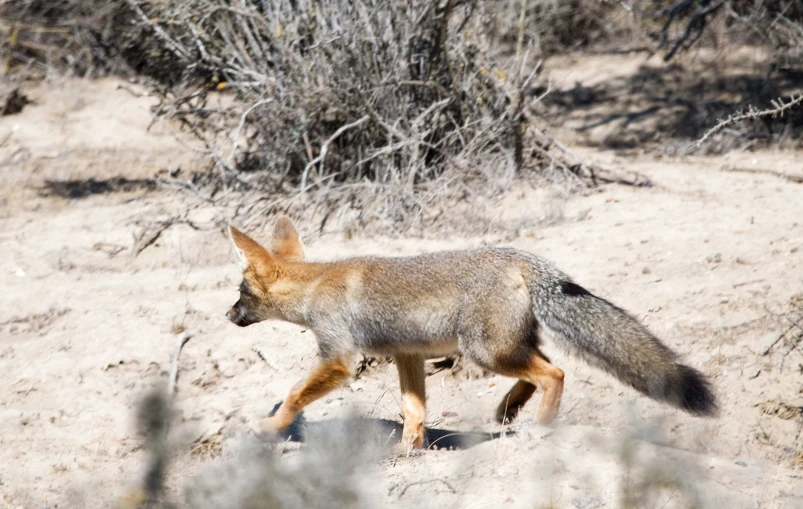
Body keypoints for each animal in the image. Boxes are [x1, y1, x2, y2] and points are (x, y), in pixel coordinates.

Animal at [225, 214, 716, 448]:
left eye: (240, 292)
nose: (228, 316)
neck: (315, 286)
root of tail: (524, 257)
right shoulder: (408, 356)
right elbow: (414, 412)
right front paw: (407, 453)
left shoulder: (339, 358)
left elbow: (293, 396)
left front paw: (269, 427)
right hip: (504, 347)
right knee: (544, 369)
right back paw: (508, 409)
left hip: (485, 351)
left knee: (555, 374)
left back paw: (540, 426)